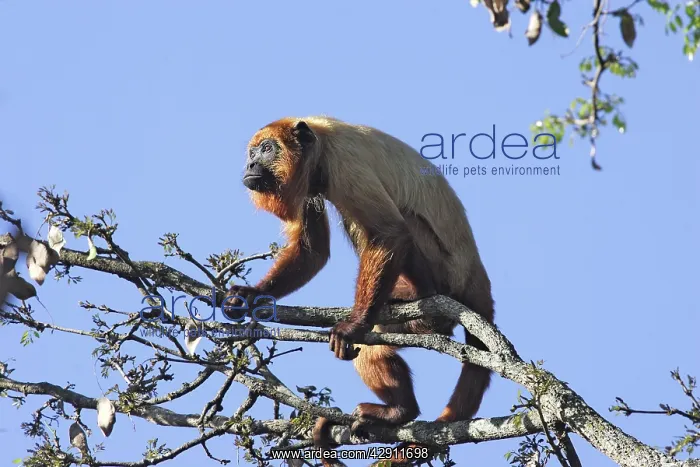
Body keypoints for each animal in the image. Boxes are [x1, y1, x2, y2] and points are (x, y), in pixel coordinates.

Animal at [224, 116, 495, 464]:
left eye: (268, 149)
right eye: (252, 152)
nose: (250, 164)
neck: (319, 147)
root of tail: (476, 274)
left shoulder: (344, 164)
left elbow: (389, 232)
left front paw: (352, 327)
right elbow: (311, 252)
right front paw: (249, 297)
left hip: (442, 281)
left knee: (395, 224)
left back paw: (416, 293)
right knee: (373, 348)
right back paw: (401, 410)